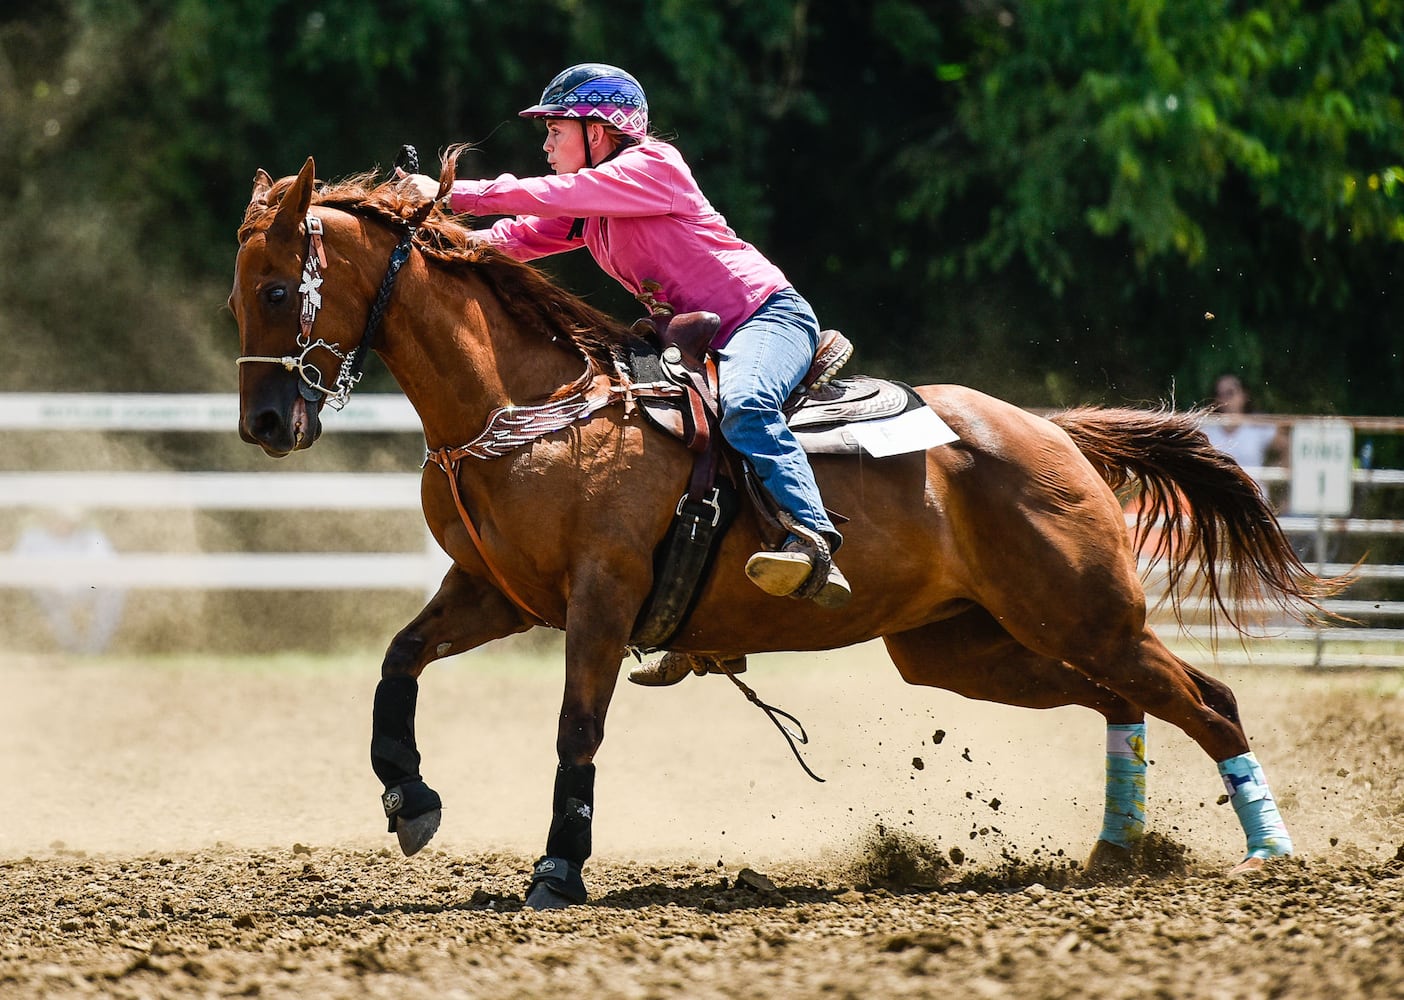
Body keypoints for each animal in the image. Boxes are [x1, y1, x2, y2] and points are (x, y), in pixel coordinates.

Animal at [227, 154, 1336, 904]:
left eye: (281, 289)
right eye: (239, 297)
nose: (265, 426)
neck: (531, 401)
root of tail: (1050, 431)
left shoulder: (601, 596)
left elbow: (577, 727)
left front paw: (558, 868)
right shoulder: (496, 592)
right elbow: (397, 660)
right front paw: (409, 801)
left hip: (1084, 614)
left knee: (1209, 700)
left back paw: (1271, 851)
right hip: (970, 649)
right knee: (1124, 702)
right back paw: (1115, 851)